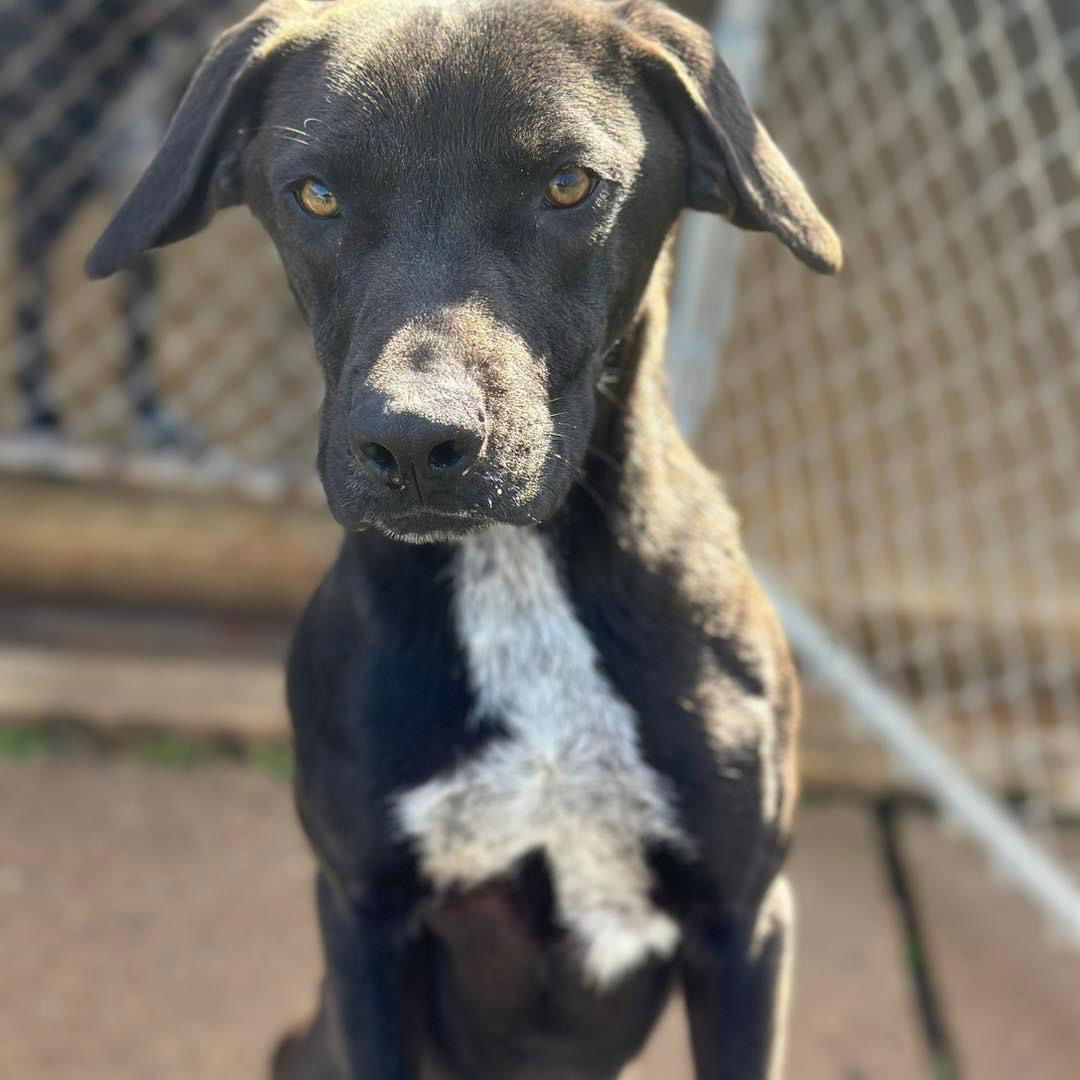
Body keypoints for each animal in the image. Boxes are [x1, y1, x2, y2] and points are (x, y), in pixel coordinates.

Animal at [88, 4, 838, 1075]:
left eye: (569, 184)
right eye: (316, 195)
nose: (413, 442)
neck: (516, 581)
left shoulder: (745, 925)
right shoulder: (361, 914)